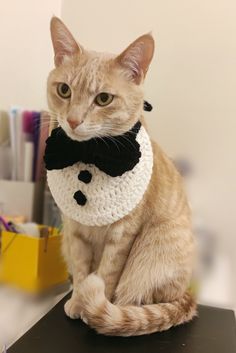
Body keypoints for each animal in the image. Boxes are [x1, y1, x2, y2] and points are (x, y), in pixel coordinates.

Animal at [46, 16, 197, 336]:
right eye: (64, 90)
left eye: (103, 99)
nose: (73, 120)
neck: (89, 157)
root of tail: (186, 294)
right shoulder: (75, 233)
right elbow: (82, 271)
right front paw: (78, 300)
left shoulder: (123, 236)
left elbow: (106, 275)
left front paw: (92, 306)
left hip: (151, 253)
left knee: (140, 296)